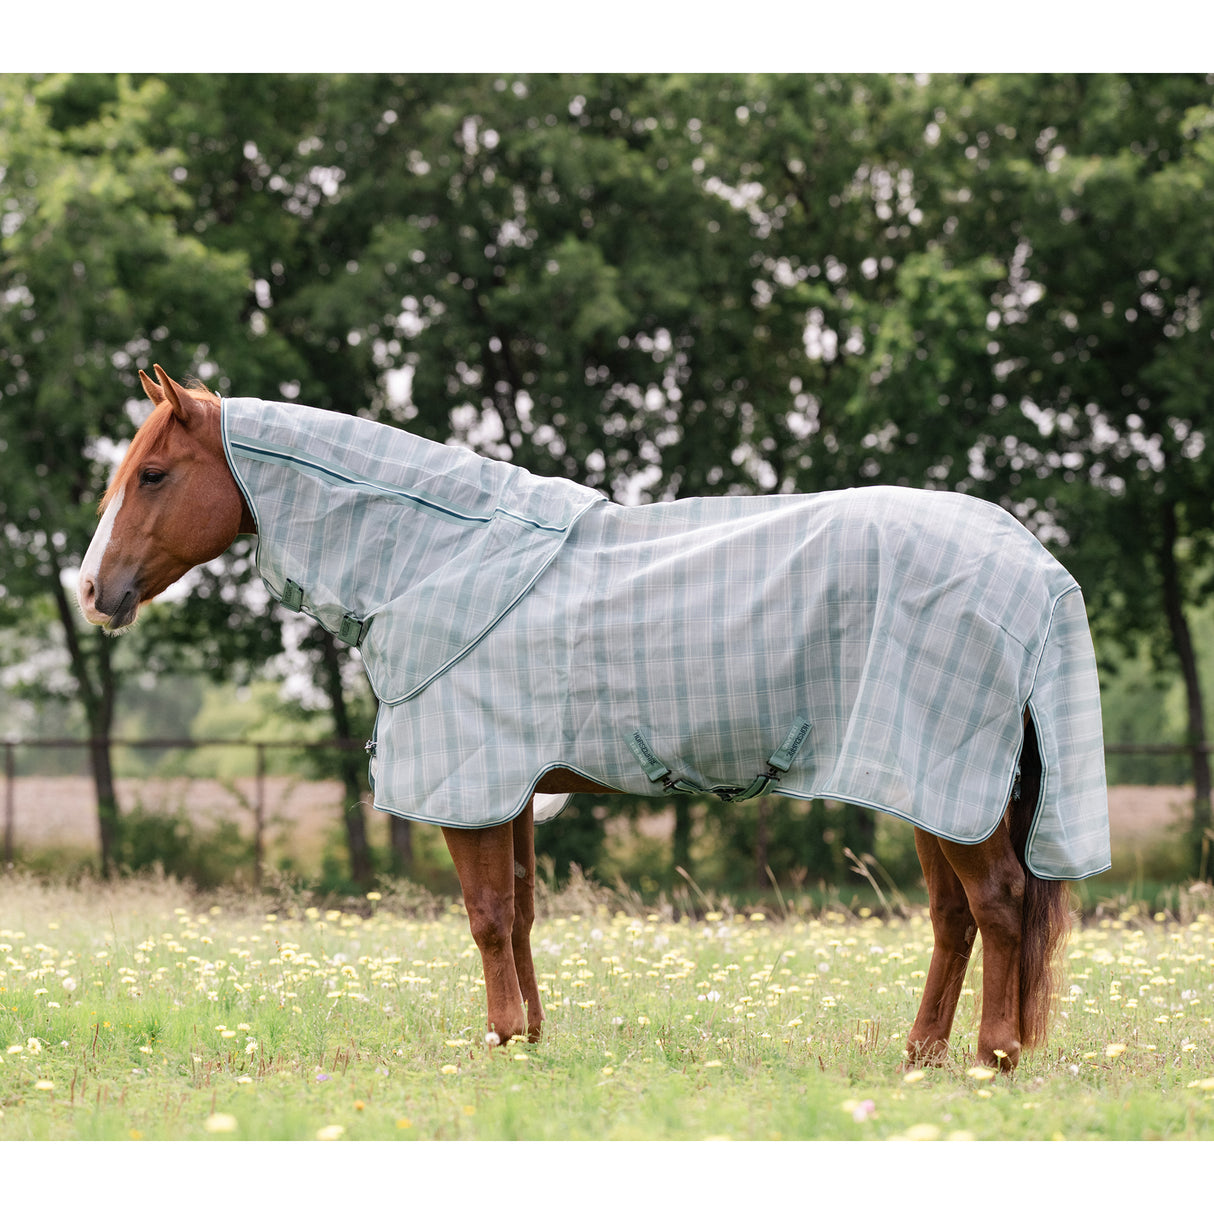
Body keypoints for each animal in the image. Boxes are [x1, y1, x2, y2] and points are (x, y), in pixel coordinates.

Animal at [78, 366, 1110, 1071]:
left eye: (155, 474)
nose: (93, 591)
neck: (439, 558)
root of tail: (1034, 566)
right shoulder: (514, 791)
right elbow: (522, 911)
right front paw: (530, 1039)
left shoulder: (473, 784)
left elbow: (488, 915)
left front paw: (500, 1040)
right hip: (931, 784)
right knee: (956, 917)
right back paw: (921, 1056)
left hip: (947, 780)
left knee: (999, 903)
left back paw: (992, 1057)